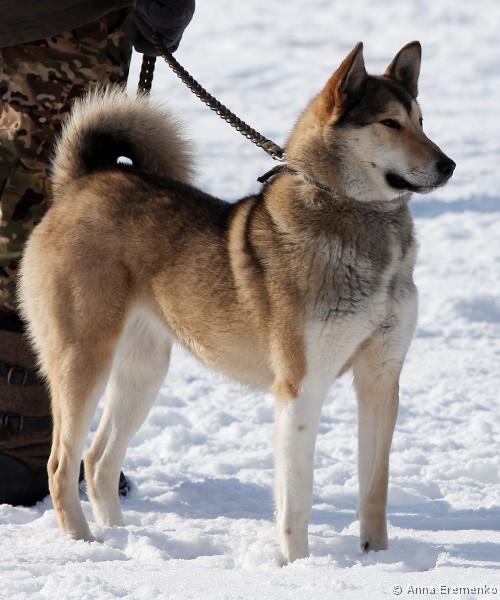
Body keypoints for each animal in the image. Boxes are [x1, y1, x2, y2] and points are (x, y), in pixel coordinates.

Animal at [18, 41, 455, 564]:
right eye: (390, 123)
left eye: (422, 120)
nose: (449, 165)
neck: (363, 226)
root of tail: (80, 184)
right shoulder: (301, 386)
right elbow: (297, 497)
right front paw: (300, 567)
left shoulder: (381, 378)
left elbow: (375, 486)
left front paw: (377, 559)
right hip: (84, 360)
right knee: (61, 463)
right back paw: (86, 543)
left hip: (144, 370)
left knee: (97, 459)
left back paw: (126, 540)